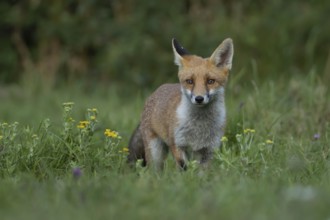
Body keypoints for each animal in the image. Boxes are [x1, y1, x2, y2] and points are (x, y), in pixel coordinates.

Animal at [127, 37, 233, 169]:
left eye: (210, 81)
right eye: (190, 81)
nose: (199, 98)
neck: (199, 127)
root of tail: (158, 89)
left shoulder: (209, 149)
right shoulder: (177, 144)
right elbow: (184, 168)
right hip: (156, 153)